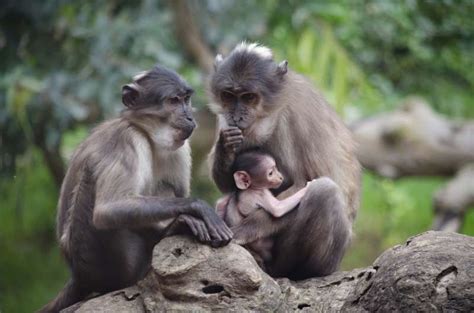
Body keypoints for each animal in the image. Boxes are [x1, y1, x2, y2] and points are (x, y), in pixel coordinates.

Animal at [39, 64, 232, 310]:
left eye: (186, 99)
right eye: (173, 100)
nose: (189, 116)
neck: (146, 134)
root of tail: (78, 275)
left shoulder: (180, 146)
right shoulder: (126, 139)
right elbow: (107, 210)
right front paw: (198, 208)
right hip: (103, 261)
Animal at [207, 42, 360, 280]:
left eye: (249, 97)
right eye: (229, 96)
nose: (236, 116)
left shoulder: (298, 114)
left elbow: (312, 181)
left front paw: (245, 230)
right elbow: (229, 185)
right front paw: (225, 147)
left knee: (324, 191)